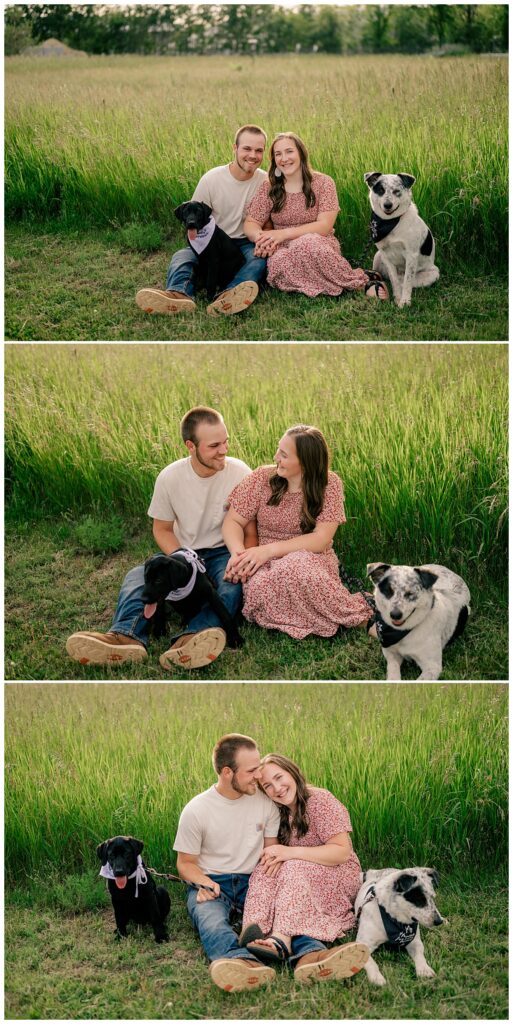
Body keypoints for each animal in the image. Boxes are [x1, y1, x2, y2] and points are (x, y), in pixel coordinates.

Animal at [362, 174, 438, 307]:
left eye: (396, 191)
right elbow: (394, 281)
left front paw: (405, 301)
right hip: (377, 256)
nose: (387, 205)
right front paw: (397, 298)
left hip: (433, 274)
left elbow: (407, 282)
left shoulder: (411, 255)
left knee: (408, 282)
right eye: (380, 190)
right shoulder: (385, 255)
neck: (391, 222)